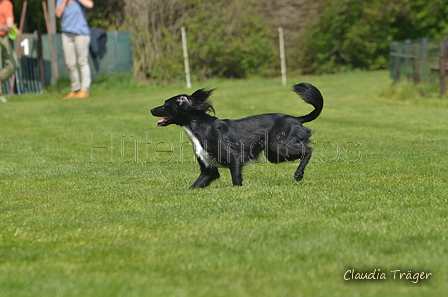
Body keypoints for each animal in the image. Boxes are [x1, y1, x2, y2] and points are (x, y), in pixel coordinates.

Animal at [150, 82, 322, 187]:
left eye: (165, 104)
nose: (151, 109)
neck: (199, 127)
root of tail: (296, 118)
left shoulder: (234, 158)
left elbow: (236, 180)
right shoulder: (208, 170)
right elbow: (195, 185)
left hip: (278, 145)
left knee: (308, 149)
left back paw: (298, 174)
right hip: (273, 154)